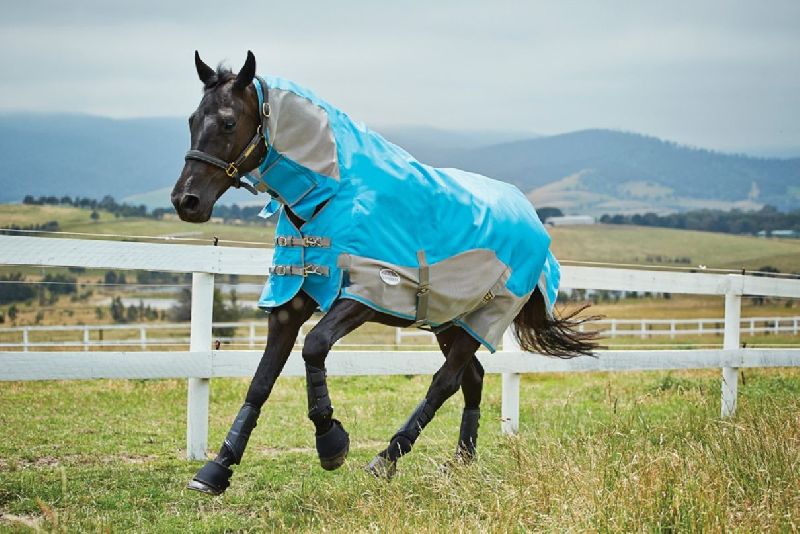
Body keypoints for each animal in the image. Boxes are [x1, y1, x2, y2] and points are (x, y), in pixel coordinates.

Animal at [171, 51, 598, 495]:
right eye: (192, 120)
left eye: (228, 122)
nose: (186, 200)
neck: (334, 195)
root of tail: (533, 220)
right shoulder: (292, 299)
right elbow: (261, 379)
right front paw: (217, 468)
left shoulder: (367, 295)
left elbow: (314, 347)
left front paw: (331, 442)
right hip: (450, 321)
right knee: (473, 378)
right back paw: (462, 460)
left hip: (484, 319)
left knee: (445, 382)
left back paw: (387, 458)